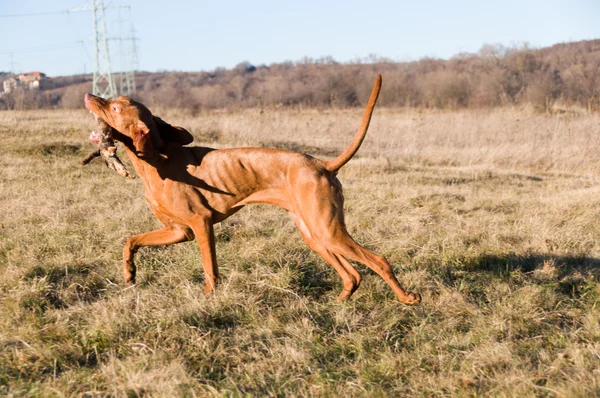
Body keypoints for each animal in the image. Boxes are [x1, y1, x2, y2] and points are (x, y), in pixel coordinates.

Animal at [84, 75, 422, 304]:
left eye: (115, 107)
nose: (88, 94)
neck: (156, 159)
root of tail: (323, 165)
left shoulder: (200, 225)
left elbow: (210, 267)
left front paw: (210, 296)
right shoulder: (177, 231)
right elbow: (130, 241)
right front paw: (129, 273)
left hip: (328, 230)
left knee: (377, 261)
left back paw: (406, 298)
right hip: (314, 234)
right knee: (353, 274)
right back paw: (340, 302)